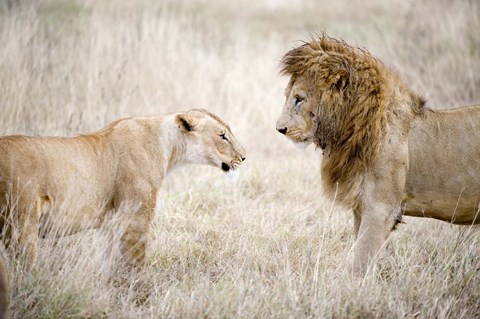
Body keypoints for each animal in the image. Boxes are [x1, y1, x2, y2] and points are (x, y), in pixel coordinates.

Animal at [0, 108, 246, 270]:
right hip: (21, 227)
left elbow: (111, 267)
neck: (169, 147)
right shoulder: (134, 220)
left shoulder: (111, 224)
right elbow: (134, 268)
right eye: (222, 136)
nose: (244, 157)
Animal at [276, 34, 480, 276]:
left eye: (299, 99)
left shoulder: (380, 209)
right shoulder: (361, 208)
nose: (279, 129)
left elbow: (360, 263)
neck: (351, 129)